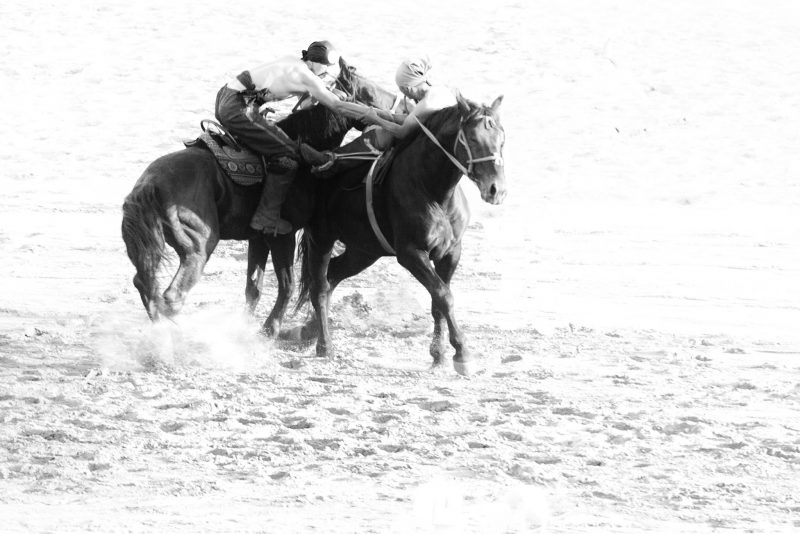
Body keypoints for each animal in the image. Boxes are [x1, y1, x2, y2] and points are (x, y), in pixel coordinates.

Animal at [121, 58, 396, 335]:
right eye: (368, 91)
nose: (394, 106)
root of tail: (149, 186)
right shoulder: (282, 235)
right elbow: (287, 285)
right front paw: (270, 328)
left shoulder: (258, 238)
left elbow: (253, 287)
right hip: (199, 246)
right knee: (171, 296)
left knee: (144, 283)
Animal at [296, 93, 506, 376]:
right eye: (473, 139)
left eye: (502, 139)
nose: (497, 190)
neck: (434, 190)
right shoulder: (411, 253)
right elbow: (444, 296)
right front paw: (462, 353)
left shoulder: (451, 252)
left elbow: (437, 302)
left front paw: (439, 354)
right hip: (321, 239)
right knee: (319, 286)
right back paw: (324, 344)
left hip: (364, 250)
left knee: (333, 275)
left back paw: (310, 330)